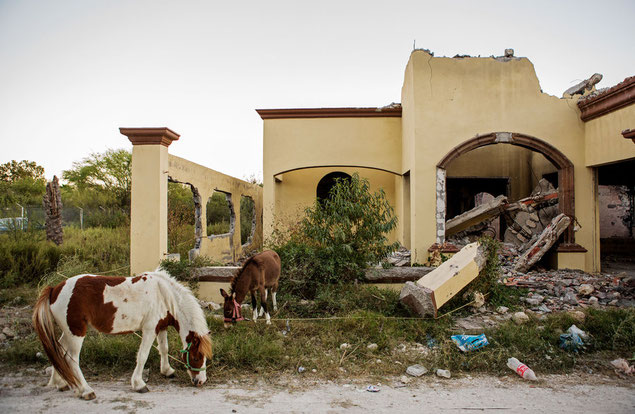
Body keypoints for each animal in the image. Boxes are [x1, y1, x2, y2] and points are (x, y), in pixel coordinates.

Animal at [33, 270, 211, 400]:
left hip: (68, 332)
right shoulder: (149, 329)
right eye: (196, 357)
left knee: (59, 351)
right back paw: (85, 390)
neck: (163, 294)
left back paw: (61, 383)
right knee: (71, 359)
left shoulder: (160, 327)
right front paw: (139, 384)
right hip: (76, 333)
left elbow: (164, 349)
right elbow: (143, 356)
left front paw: (167, 371)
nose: (201, 381)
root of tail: (54, 290)